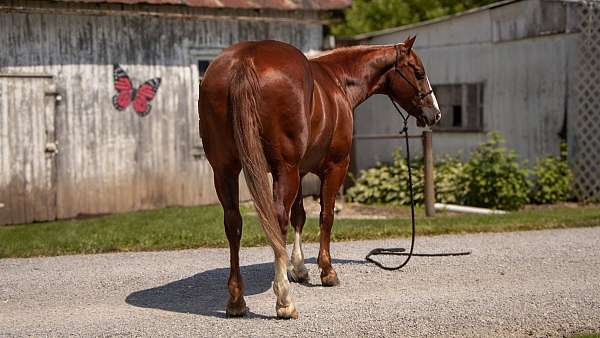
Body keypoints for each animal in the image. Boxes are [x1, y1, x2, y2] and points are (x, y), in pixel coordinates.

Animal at [199, 35, 438, 318]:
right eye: (419, 73)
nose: (434, 114)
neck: (338, 81)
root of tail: (245, 60)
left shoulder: (300, 171)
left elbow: (300, 216)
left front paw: (300, 268)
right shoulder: (334, 167)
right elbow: (326, 216)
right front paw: (327, 271)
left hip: (225, 170)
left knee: (233, 223)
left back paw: (236, 300)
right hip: (283, 170)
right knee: (277, 220)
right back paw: (284, 300)